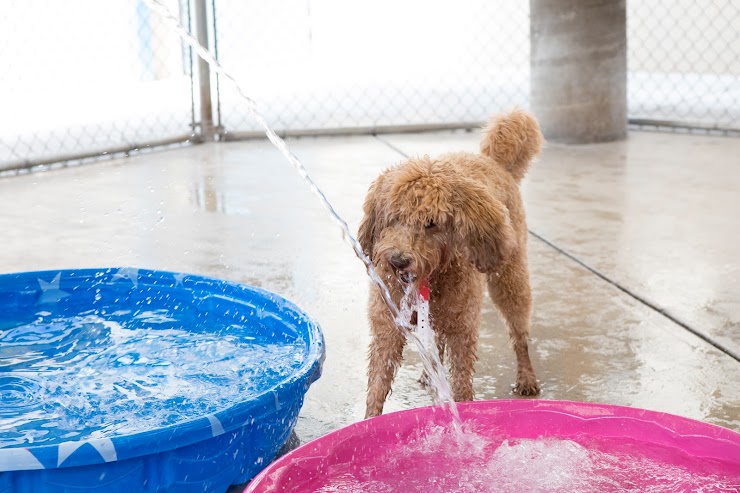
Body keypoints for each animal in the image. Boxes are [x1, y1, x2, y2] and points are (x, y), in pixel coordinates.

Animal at [358, 109, 544, 418]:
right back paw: (429, 373)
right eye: (394, 216)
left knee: (519, 334)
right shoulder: (387, 325)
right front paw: (368, 422)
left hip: (510, 278)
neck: (431, 279)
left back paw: (527, 378)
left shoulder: (463, 328)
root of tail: (494, 162)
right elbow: (377, 385)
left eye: (431, 223)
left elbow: (461, 382)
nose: (398, 260)